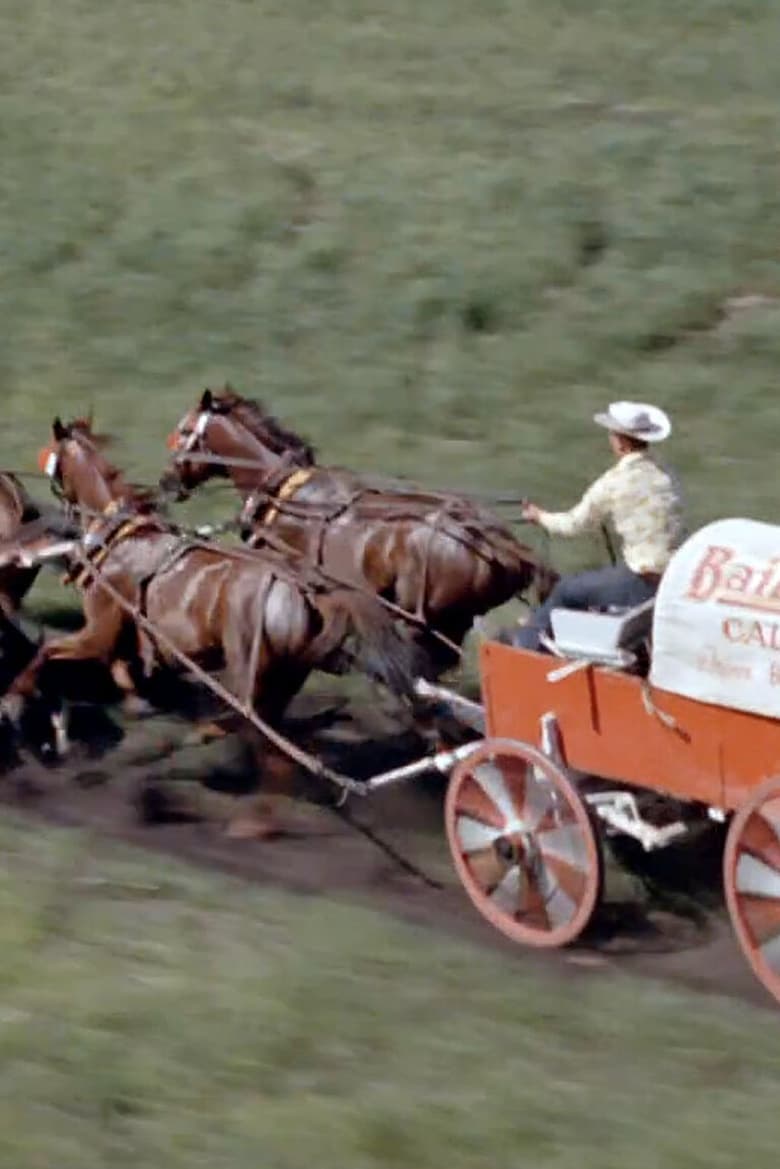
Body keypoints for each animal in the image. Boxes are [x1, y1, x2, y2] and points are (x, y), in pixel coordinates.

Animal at [4, 416, 432, 837]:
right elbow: (122, 670)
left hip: (249, 677)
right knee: (270, 746)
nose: (42, 518)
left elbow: (47, 652)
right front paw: (133, 705)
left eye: (52, 458)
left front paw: (14, 700)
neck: (122, 538)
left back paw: (235, 810)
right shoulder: (123, 639)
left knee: (263, 745)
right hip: (283, 680)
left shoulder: (98, 633)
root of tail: (308, 591)